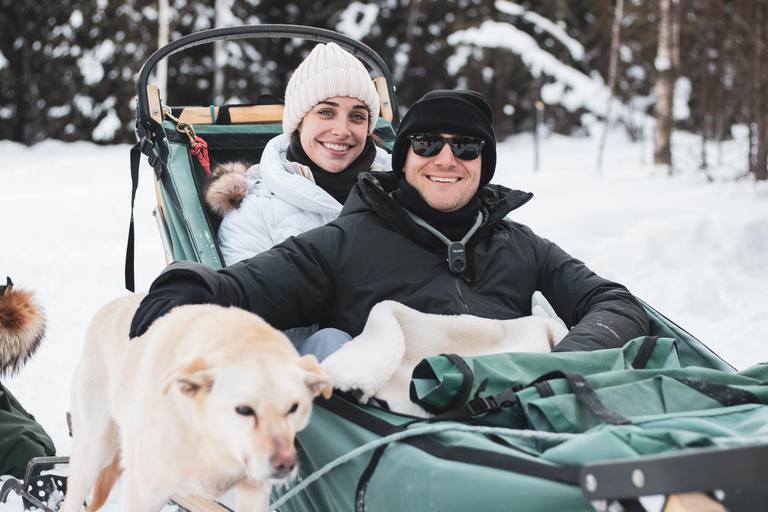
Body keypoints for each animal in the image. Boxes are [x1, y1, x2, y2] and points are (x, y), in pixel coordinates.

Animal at [60, 294, 332, 512]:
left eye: (294, 408)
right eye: (244, 410)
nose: (285, 464)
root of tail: (111, 304)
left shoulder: (254, 493)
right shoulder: (142, 491)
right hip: (93, 455)